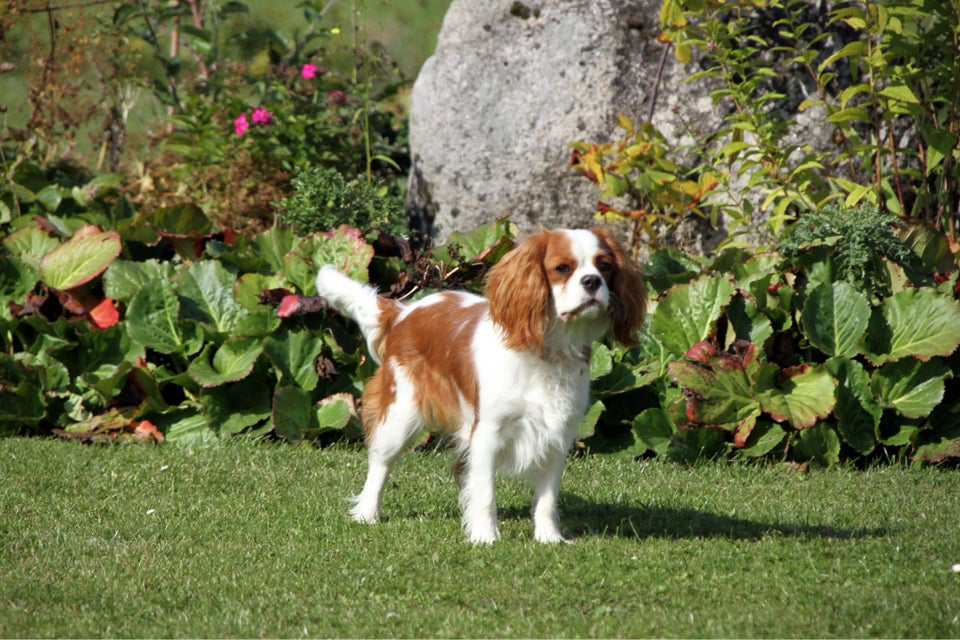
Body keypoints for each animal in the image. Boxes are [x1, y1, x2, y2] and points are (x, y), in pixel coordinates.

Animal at [318, 228, 648, 544]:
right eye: (562, 268)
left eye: (604, 266)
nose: (592, 281)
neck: (548, 349)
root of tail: (403, 312)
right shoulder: (488, 433)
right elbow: (486, 494)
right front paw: (485, 537)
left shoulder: (557, 436)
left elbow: (546, 499)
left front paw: (549, 538)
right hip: (401, 414)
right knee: (380, 462)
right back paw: (367, 513)